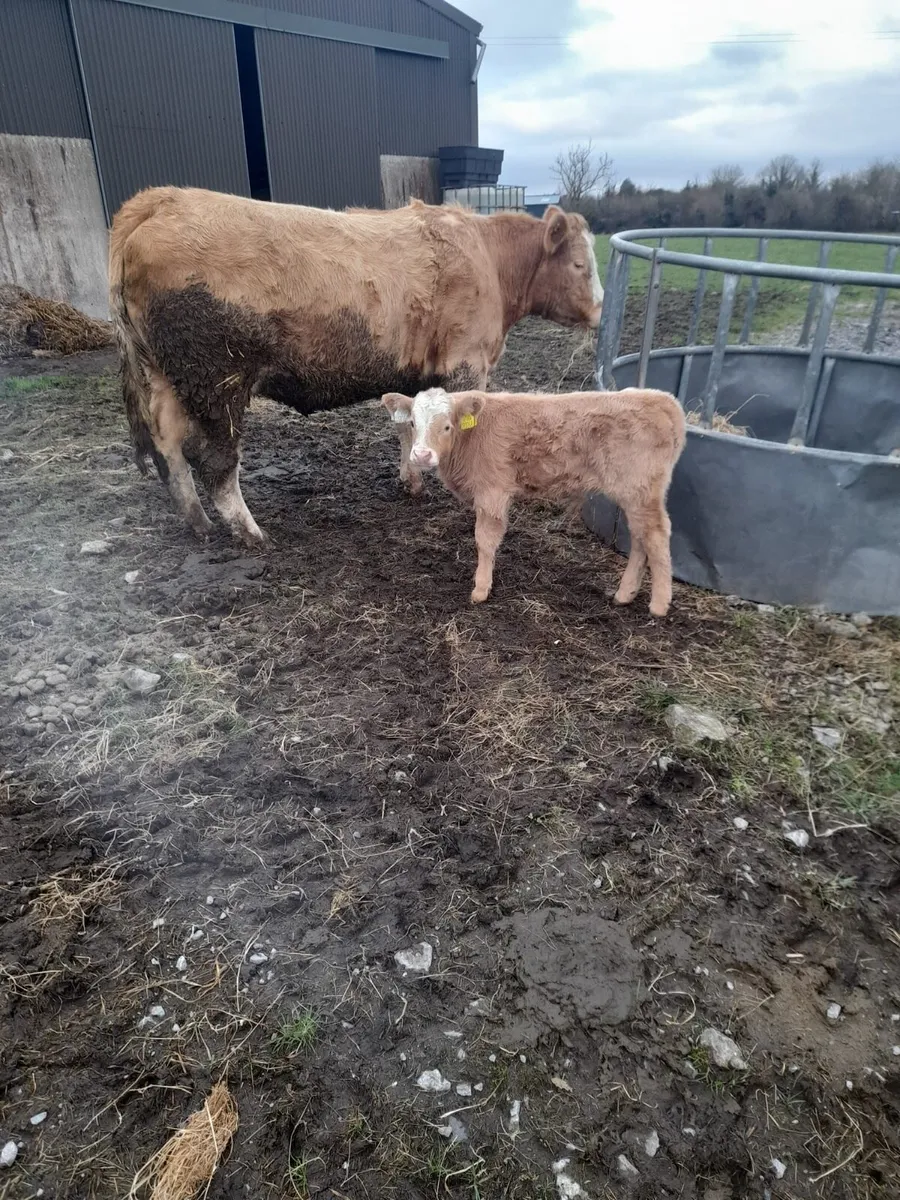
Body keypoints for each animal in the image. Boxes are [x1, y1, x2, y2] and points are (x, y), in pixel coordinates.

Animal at [109, 187, 603, 545]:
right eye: (580, 264)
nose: (600, 308)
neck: (488, 260)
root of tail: (164, 198)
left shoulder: (417, 373)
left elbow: (408, 427)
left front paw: (412, 481)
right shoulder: (467, 362)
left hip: (165, 377)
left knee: (169, 448)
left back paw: (199, 524)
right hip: (216, 380)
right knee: (213, 460)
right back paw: (249, 533)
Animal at [381, 387, 686, 616]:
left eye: (447, 426)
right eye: (412, 423)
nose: (421, 455)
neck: (470, 437)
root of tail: (660, 399)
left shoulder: (492, 493)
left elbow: (485, 540)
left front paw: (481, 588)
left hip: (641, 491)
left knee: (656, 536)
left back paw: (659, 605)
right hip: (633, 494)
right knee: (639, 537)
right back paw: (625, 594)